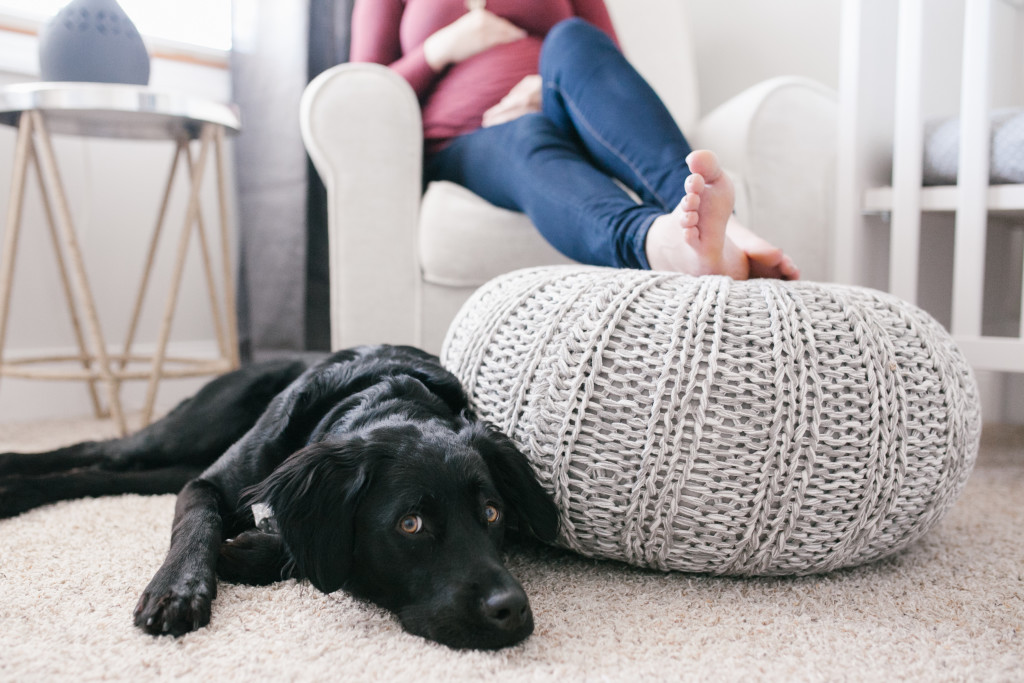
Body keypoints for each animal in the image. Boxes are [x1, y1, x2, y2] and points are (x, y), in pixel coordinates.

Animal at [0, 348, 561, 651]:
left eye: (492, 513)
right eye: (411, 525)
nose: (512, 609)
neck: (380, 398)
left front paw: (250, 551)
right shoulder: (207, 486)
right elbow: (197, 526)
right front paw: (178, 590)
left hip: (173, 465)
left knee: (104, 474)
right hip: (184, 434)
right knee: (96, 449)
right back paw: (13, 478)